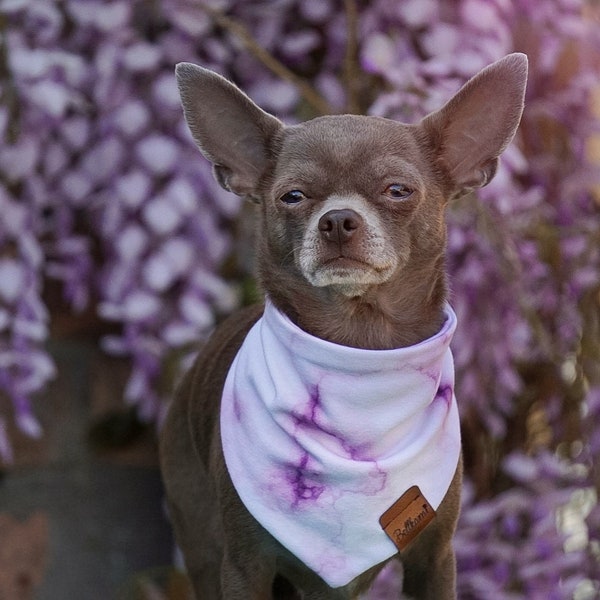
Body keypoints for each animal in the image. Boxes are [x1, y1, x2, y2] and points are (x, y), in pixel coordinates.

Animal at [158, 54, 524, 596]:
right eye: (292, 196)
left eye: (398, 191)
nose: (337, 220)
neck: (359, 349)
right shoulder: (244, 566)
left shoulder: (435, 558)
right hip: (200, 537)